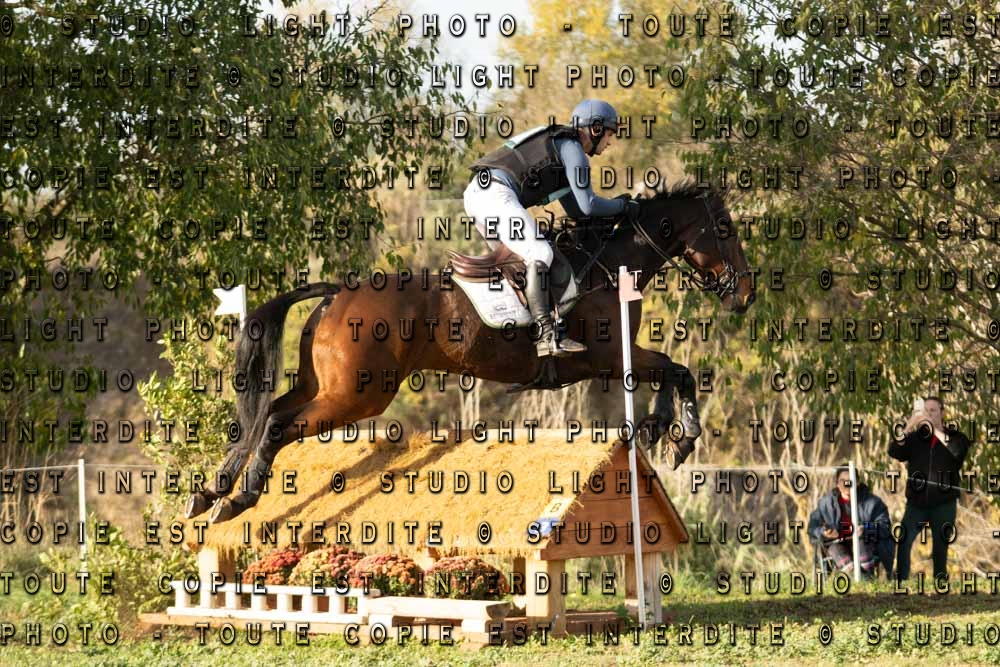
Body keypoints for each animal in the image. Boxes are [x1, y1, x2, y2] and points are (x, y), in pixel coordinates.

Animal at [187, 183, 755, 524]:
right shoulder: (605, 356)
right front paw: (682, 437)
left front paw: (665, 430)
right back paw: (237, 500)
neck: (608, 262)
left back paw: (210, 491)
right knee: (277, 424)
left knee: (265, 415)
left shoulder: (615, 359)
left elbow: (671, 372)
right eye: (725, 231)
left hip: (325, 384)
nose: (746, 294)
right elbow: (676, 370)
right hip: (357, 396)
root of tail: (334, 294)